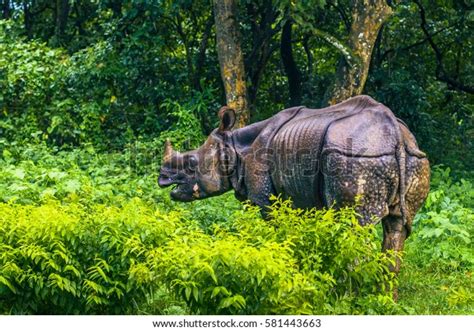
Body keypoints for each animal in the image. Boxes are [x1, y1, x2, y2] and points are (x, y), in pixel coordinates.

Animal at [158, 95, 430, 274]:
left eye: (191, 163)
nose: (162, 179)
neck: (235, 147)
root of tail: (394, 133)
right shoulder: (300, 197)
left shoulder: (266, 200)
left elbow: (277, 232)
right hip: (414, 158)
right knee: (397, 227)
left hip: (355, 158)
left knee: (353, 228)